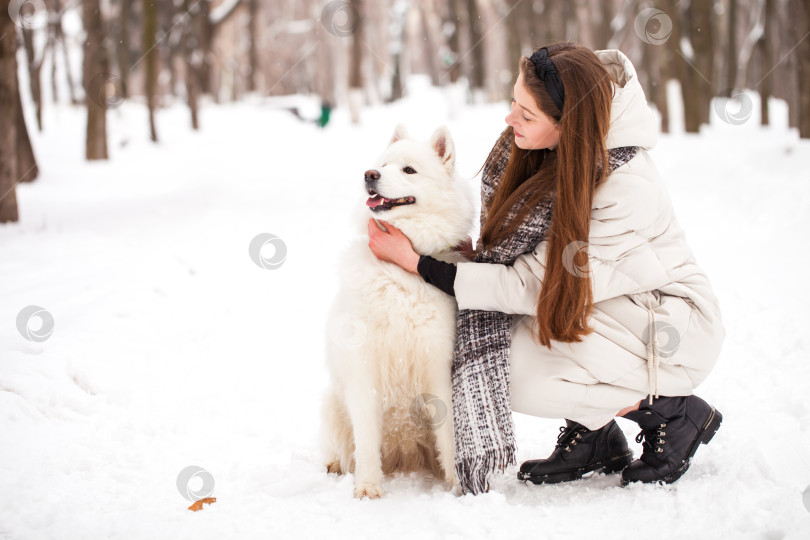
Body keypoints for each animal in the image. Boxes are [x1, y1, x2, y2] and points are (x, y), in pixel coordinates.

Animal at [320, 124, 474, 500]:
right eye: (382, 165)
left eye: (409, 170)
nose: (369, 175)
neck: (402, 273)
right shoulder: (363, 370)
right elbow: (365, 440)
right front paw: (367, 487)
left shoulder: (438, 367)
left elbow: (449, 435)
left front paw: (457, 485)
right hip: (331, 402)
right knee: (340, 449)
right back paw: (334, 465)